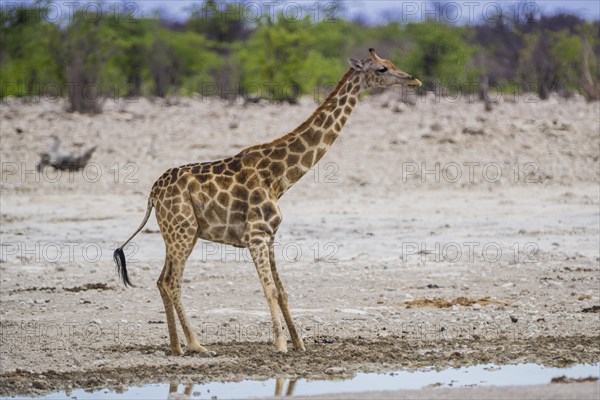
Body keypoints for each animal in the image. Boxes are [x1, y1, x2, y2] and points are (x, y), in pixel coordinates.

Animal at [113, 48, 422, 354]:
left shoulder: (270, 236)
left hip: (178, 233)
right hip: (183, 231)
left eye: (391, 62)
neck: (277, 178)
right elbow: (269, 290)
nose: (414, 80)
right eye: (382, 69)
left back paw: (177, 347)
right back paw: (196, 345)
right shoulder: (256, 235)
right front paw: (281, 345)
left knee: (161, 280)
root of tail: (152, 194)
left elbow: (282, 290)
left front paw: (299, 343)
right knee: (172, 282)